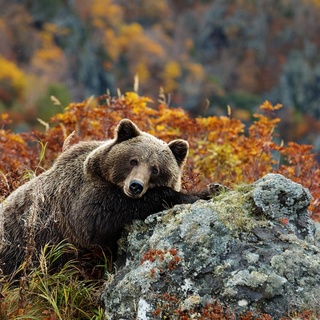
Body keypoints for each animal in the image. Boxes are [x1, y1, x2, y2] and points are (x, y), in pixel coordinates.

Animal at [0, 119, 218, 274]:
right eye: (133, 160)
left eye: (155, 169)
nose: (136, 186)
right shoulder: (76, 200)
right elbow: (97, 220)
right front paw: (195, 194)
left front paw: (212, 188)